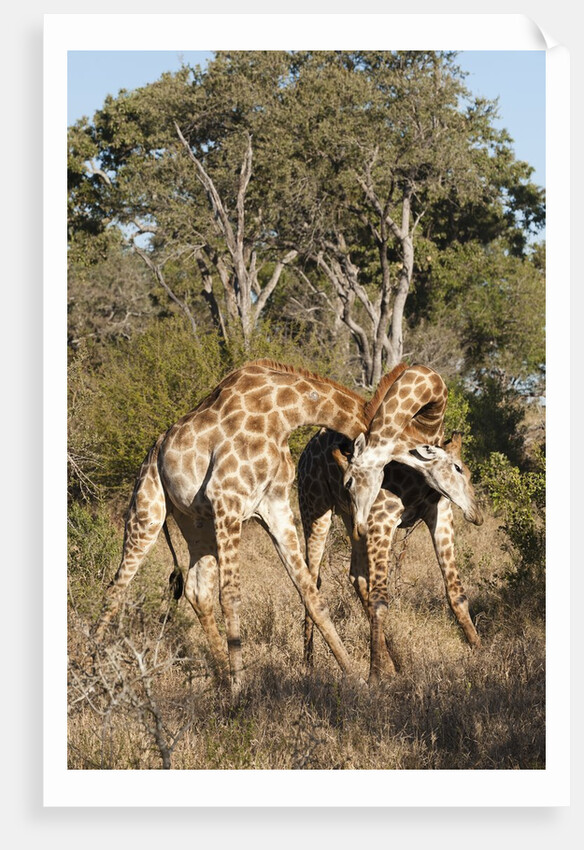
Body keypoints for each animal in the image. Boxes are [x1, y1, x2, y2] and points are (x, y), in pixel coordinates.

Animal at [91, 359, 377, 691]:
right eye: (349, 481)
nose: (361, 528)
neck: (283, 414)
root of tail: (155, 449)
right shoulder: (228, 501)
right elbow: (231, 596)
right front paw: (240, 689)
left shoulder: (275, 506)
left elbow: (310, 591)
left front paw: (356, 678)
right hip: (148, 510)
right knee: (116, 587)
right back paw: (89, 670)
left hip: (197, 524)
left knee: (196, 592)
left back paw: (219, 675)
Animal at [298, 427, 483, 684]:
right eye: (457, 468)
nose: (477, 514)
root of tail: (304, 454)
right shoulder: (381, 519)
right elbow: (379, 600)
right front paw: (374, 676)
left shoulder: (439, 511)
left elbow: (456, 592)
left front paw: (480, 651)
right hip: (314, 508)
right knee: (312, 578)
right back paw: (309, 664)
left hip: (352, 520)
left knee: (356, 575)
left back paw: (390, 664)